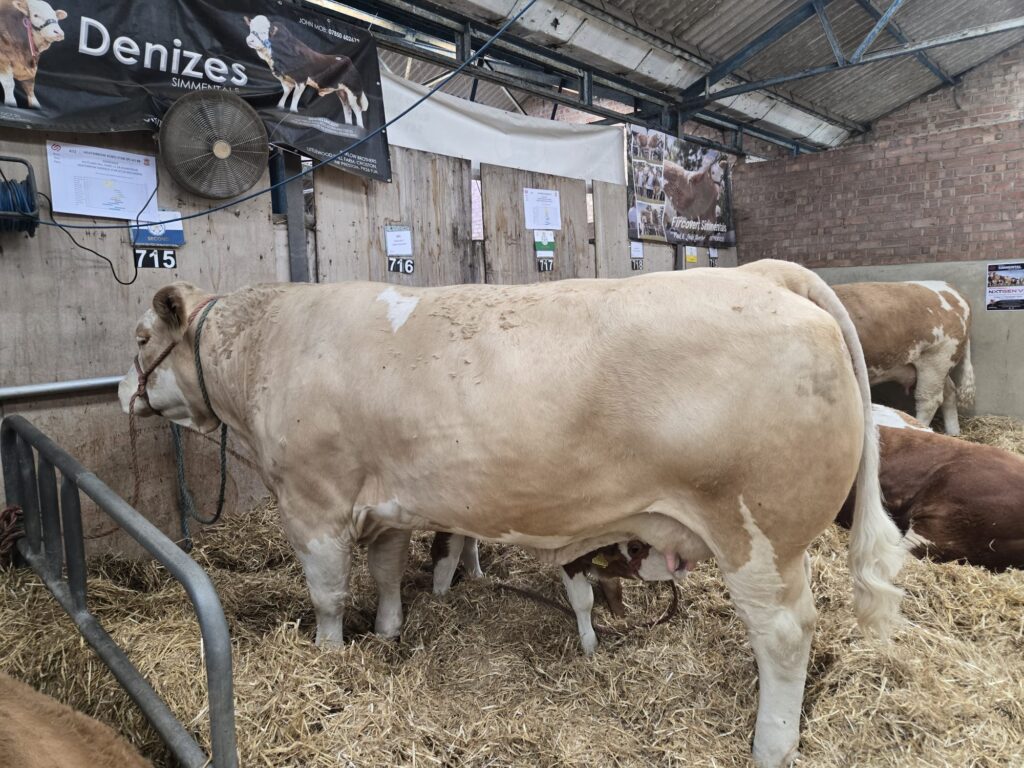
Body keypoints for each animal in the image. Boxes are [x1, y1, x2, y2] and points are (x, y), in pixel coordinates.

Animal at [431, 533, 691, 654]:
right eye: (635, 548)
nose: (680, 561)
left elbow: (614, 589)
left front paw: (620, 617)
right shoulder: (571, 557)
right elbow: (584, 601)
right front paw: (590, 644)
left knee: (469, 544)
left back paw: (478, 577)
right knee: (446, 555)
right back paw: (440, 601)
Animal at [833, 281, 975, 436]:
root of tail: (951, 288)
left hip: (936, 358)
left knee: (929, 399)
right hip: (941, 364)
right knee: (949, 392)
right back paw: (953, 433)